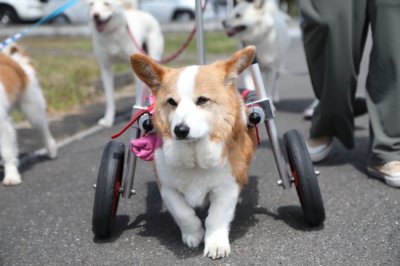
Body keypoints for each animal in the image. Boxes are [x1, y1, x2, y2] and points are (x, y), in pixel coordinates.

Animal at [0, 44, 57, 185]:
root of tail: (17, 61)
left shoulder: (3, 125)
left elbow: (7, 152)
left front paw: (11, 176)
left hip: (32, 109)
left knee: (43, 129)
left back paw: (51, 149)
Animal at [130, 46, 258, 260]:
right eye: (171, 102)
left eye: (203, 100)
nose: (180, 130)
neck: (195, 158)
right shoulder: (167, 187)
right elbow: (183, 213)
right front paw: (194, 235)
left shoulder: (227, 187)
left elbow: (216, 218)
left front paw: (215, 244)